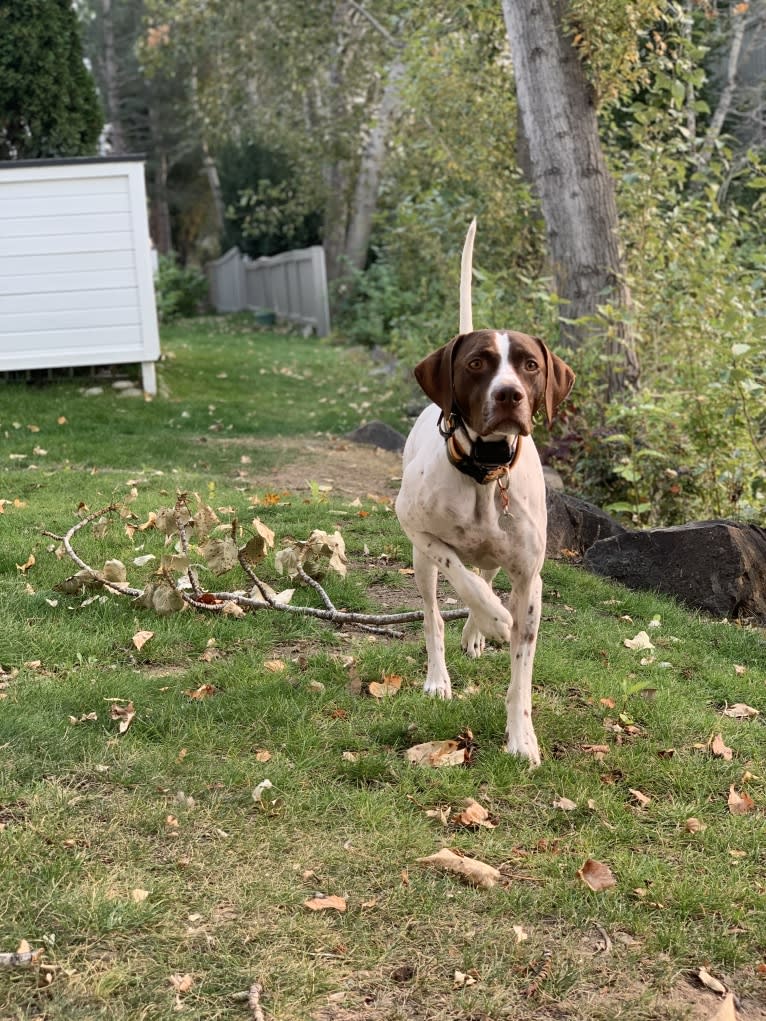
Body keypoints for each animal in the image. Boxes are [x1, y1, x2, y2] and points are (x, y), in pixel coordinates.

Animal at [396, 223, 576, 767]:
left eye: (530, 365)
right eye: (477, 362)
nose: (509, 395)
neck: (485, 471)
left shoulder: (530, 579)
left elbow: (521, 674)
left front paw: (521, 739)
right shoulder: (413, 525)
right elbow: (465, 579)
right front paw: (494, 618)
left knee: (485, 572)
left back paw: (476, 634)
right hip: (419, 564)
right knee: (436, 613)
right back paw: (441, 674)